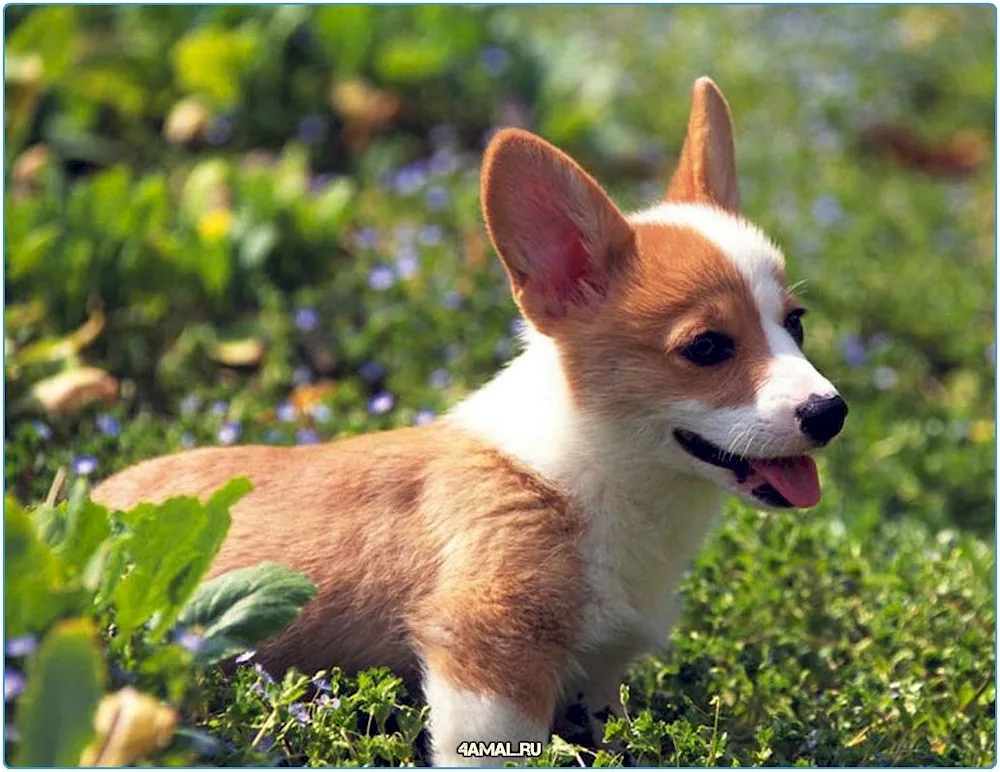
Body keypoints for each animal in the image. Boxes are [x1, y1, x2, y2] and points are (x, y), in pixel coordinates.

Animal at [92, 78, 844, 764]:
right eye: (708, 347)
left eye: (796, 323)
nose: (831, 413)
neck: (596, 472)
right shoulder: (488, 657)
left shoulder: (599, 673)